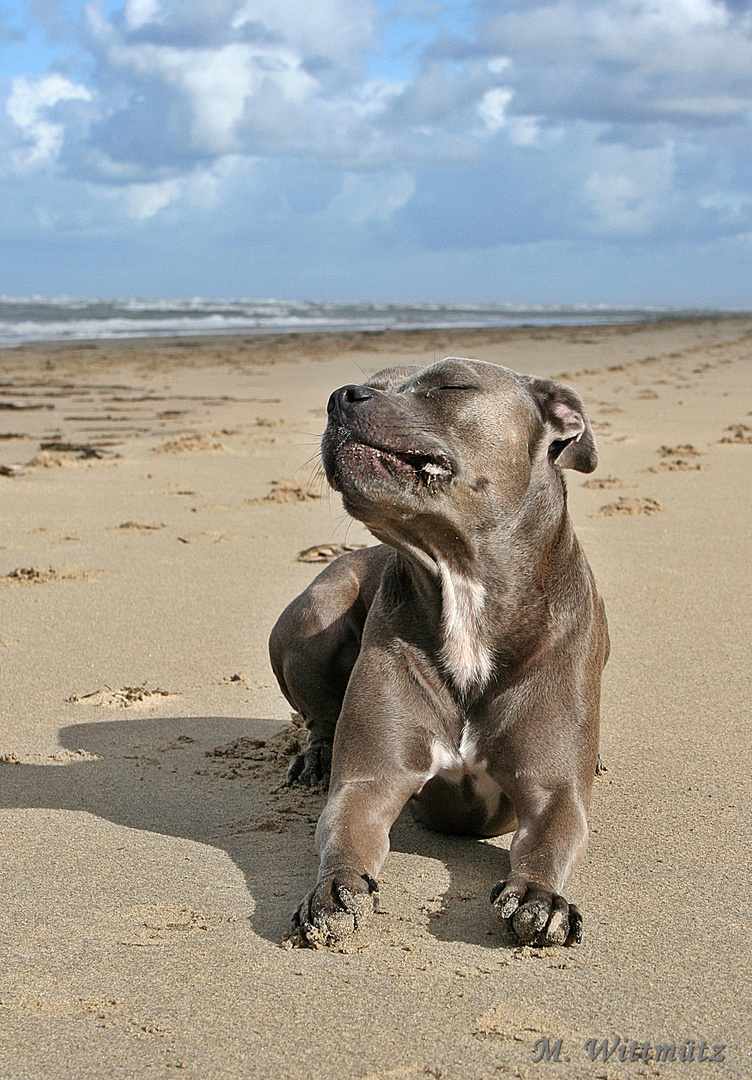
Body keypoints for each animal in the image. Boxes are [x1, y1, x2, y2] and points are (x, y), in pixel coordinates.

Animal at [266, 358, 609, 950]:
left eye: (451, 384)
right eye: (373, 383)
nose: (341, 396)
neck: (462, 582)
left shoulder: (554, 791)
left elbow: (550, 841)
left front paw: (540, 895)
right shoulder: (370, 782)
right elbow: (344, 832)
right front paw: (334, 889)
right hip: (314, 609)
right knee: (318, 714)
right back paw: (315, 755)